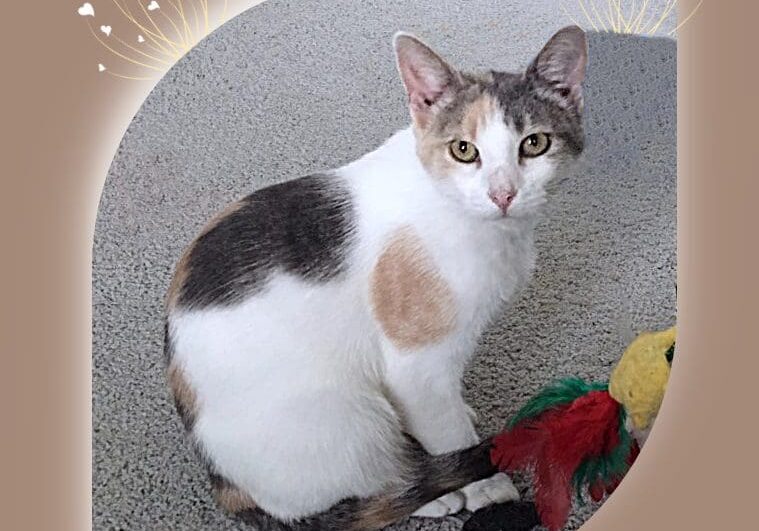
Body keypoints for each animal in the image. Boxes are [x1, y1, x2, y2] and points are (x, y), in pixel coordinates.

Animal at [165, 26, 588, 531]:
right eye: (464, 151)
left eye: (534, 144)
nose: (502, 194)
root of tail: (226, 486)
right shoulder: (416, 367)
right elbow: (445, 430)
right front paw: (486, 487)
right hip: (346, 418)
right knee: (364, 491)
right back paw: (430, 495)